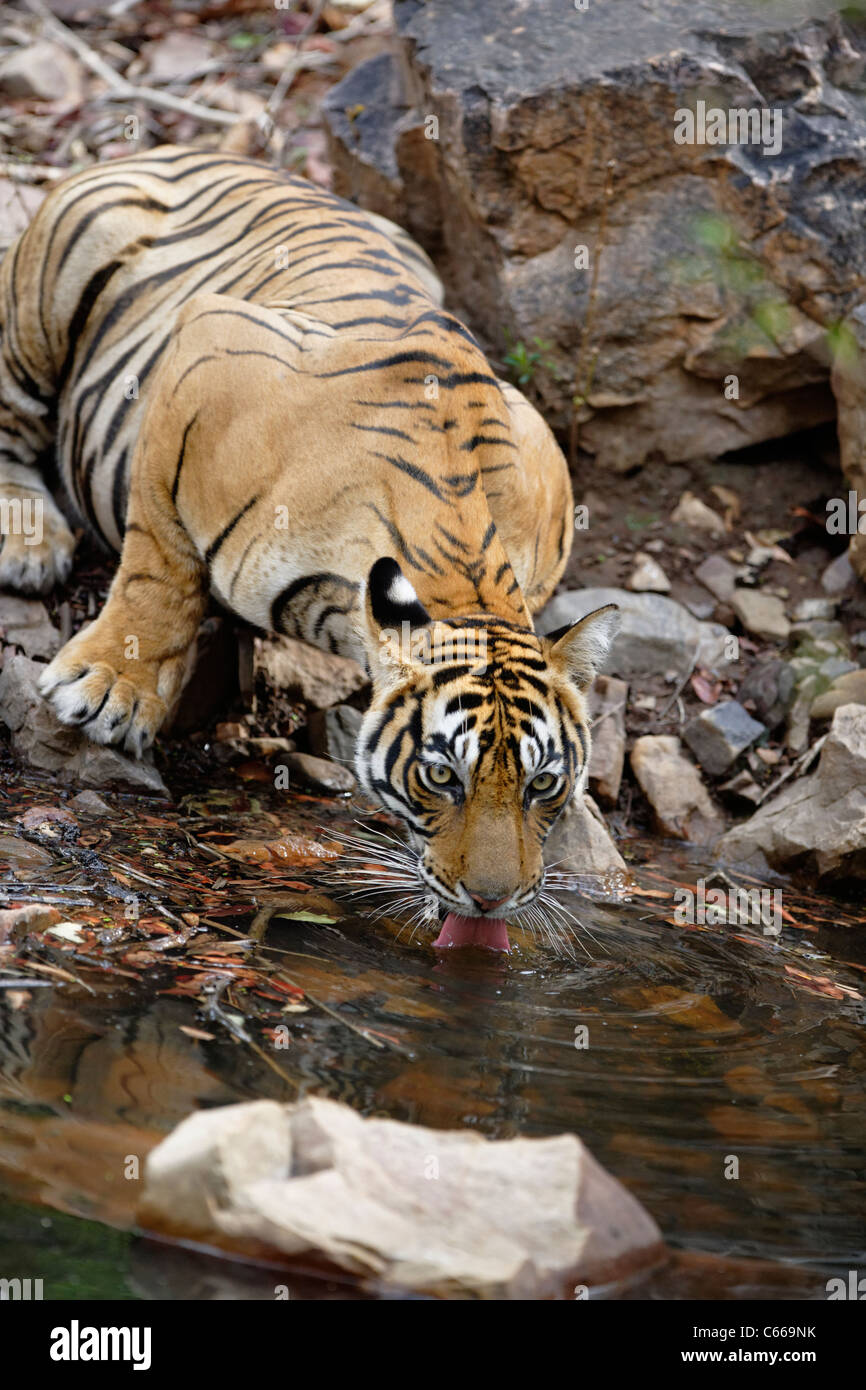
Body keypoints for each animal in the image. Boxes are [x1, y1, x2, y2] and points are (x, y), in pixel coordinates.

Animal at [0, 146, 617, 950]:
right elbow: (158, 560)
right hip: (52, 289)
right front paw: (110, 685)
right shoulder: (206, 352)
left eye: (543, 784)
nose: (494, 901)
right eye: (442, 777)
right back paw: (28, 541)